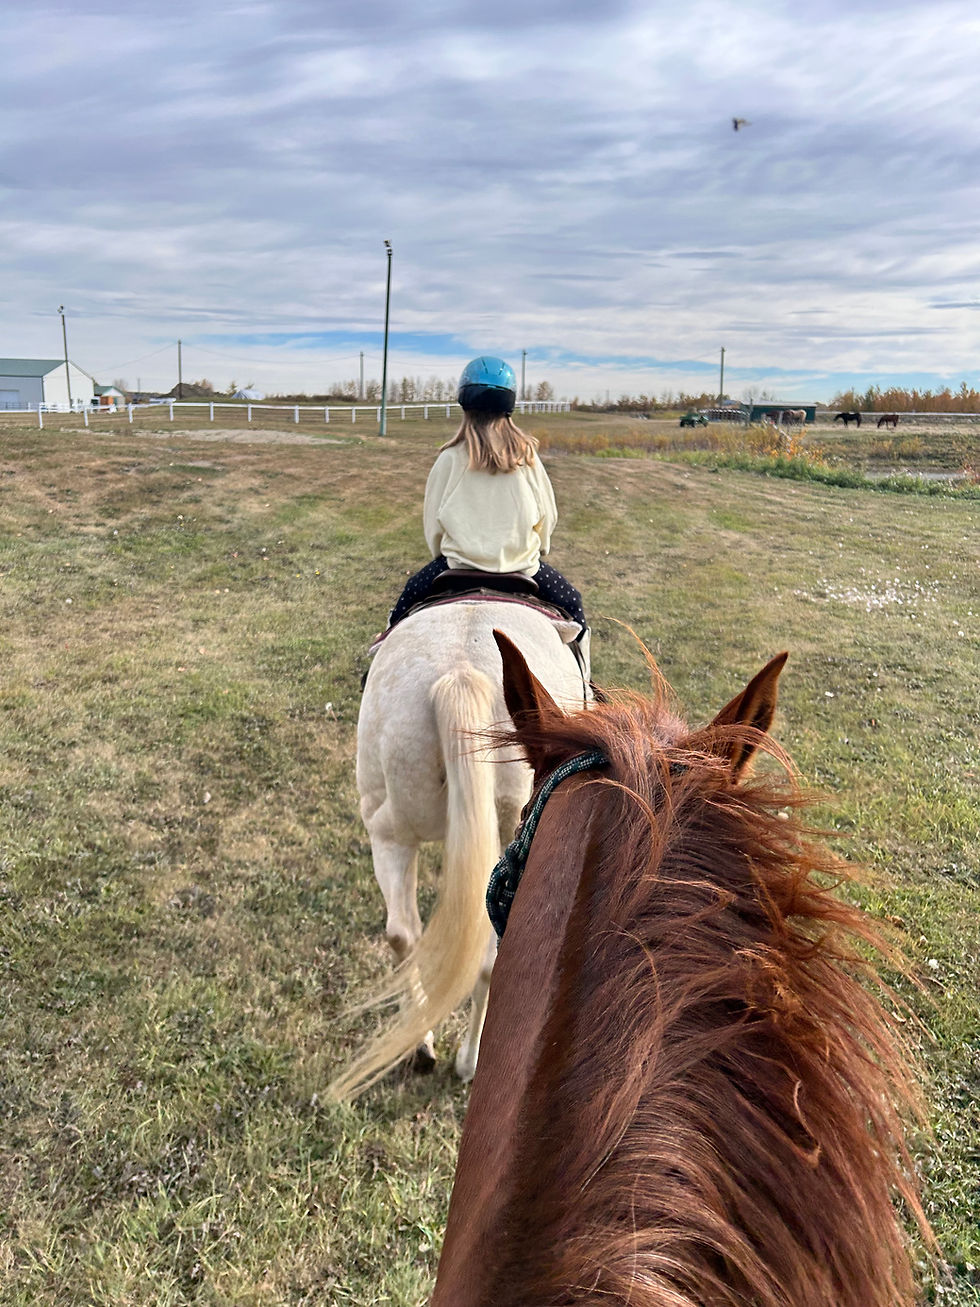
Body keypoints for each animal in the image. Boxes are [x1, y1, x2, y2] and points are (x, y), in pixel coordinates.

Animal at [328, 599, 588, 1100]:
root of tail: (460, 675)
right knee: (491, 959)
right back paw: (470, 1061)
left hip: (388, 825)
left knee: (401, 934)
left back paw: (421, 1044)